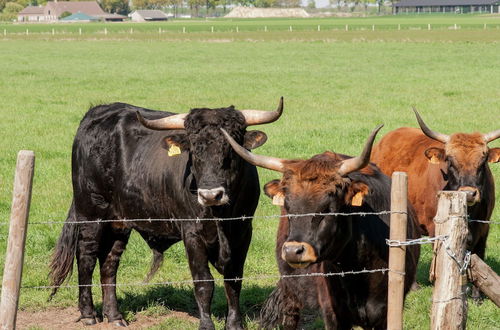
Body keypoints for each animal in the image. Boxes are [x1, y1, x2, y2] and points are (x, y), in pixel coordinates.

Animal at [49, 99, 286, 328]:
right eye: (193, 150)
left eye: (232, 149)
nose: (210, 195)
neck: (221, 217)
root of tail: (97, 112)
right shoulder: (192, 233)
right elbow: (203, 282)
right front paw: (206, 325)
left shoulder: (243, 231)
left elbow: (234, 280)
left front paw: (235, 324)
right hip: (91, 212)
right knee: (86, 257)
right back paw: (88, 314)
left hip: (119, 223)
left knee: (109, 262)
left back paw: (115, 316)